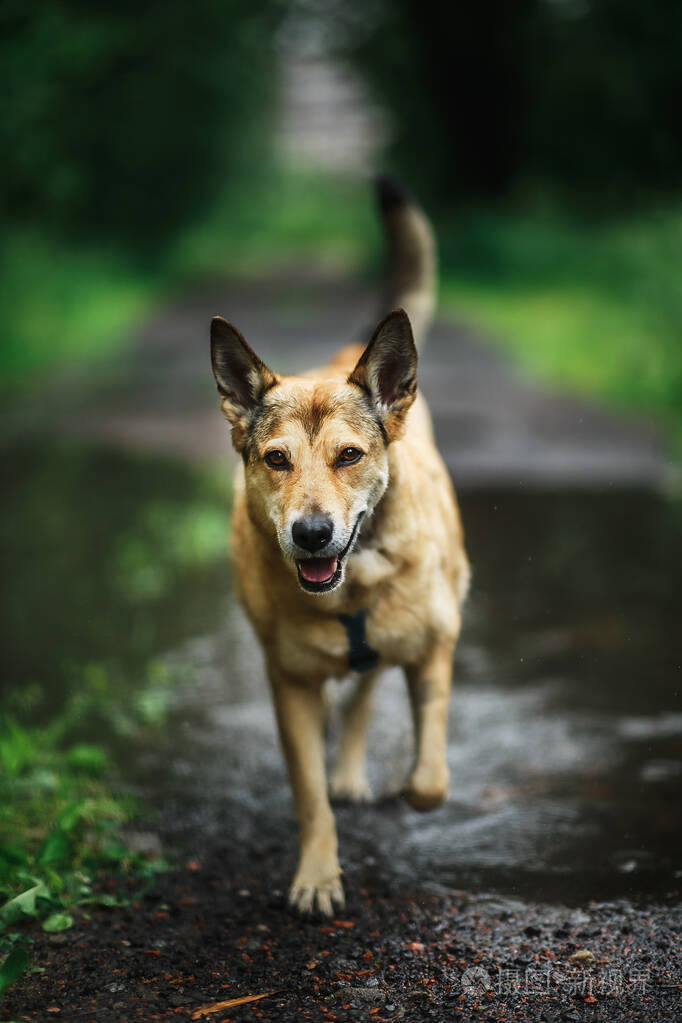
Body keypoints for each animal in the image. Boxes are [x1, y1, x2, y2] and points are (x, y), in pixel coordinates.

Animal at [209, 175, 470, 912]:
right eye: (276, 460)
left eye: (349, 455)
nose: (312, 534)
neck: (350, 589)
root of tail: (338, 359)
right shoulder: (289, 682)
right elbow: (309, 797)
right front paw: (317, 876)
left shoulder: (436, 645)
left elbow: (430, 777)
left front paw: (410, 790)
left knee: (368, 685)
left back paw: (355, 767)